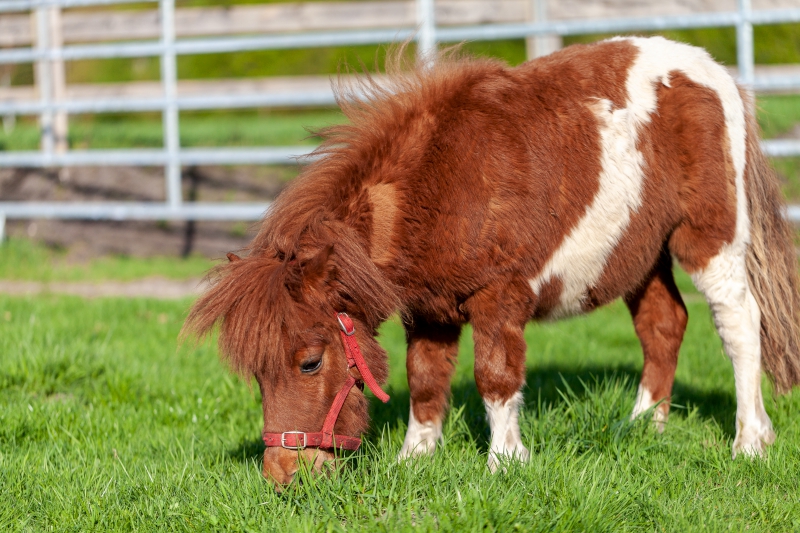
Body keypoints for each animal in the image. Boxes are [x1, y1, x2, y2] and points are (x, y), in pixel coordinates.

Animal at [183, 37, 800, 486]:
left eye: (310, 362)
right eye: (256, 374)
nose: (285, 474)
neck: (437, 183)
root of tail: (714, 72)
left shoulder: (498, 297)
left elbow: (495, 378)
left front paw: (504, 461)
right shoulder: (428, 310)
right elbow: (426, 380)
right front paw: (415, 459)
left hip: (708, 238)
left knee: (739, 324)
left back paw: (750, 442)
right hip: (640, 255)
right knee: (664, 325)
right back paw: (644, 426)